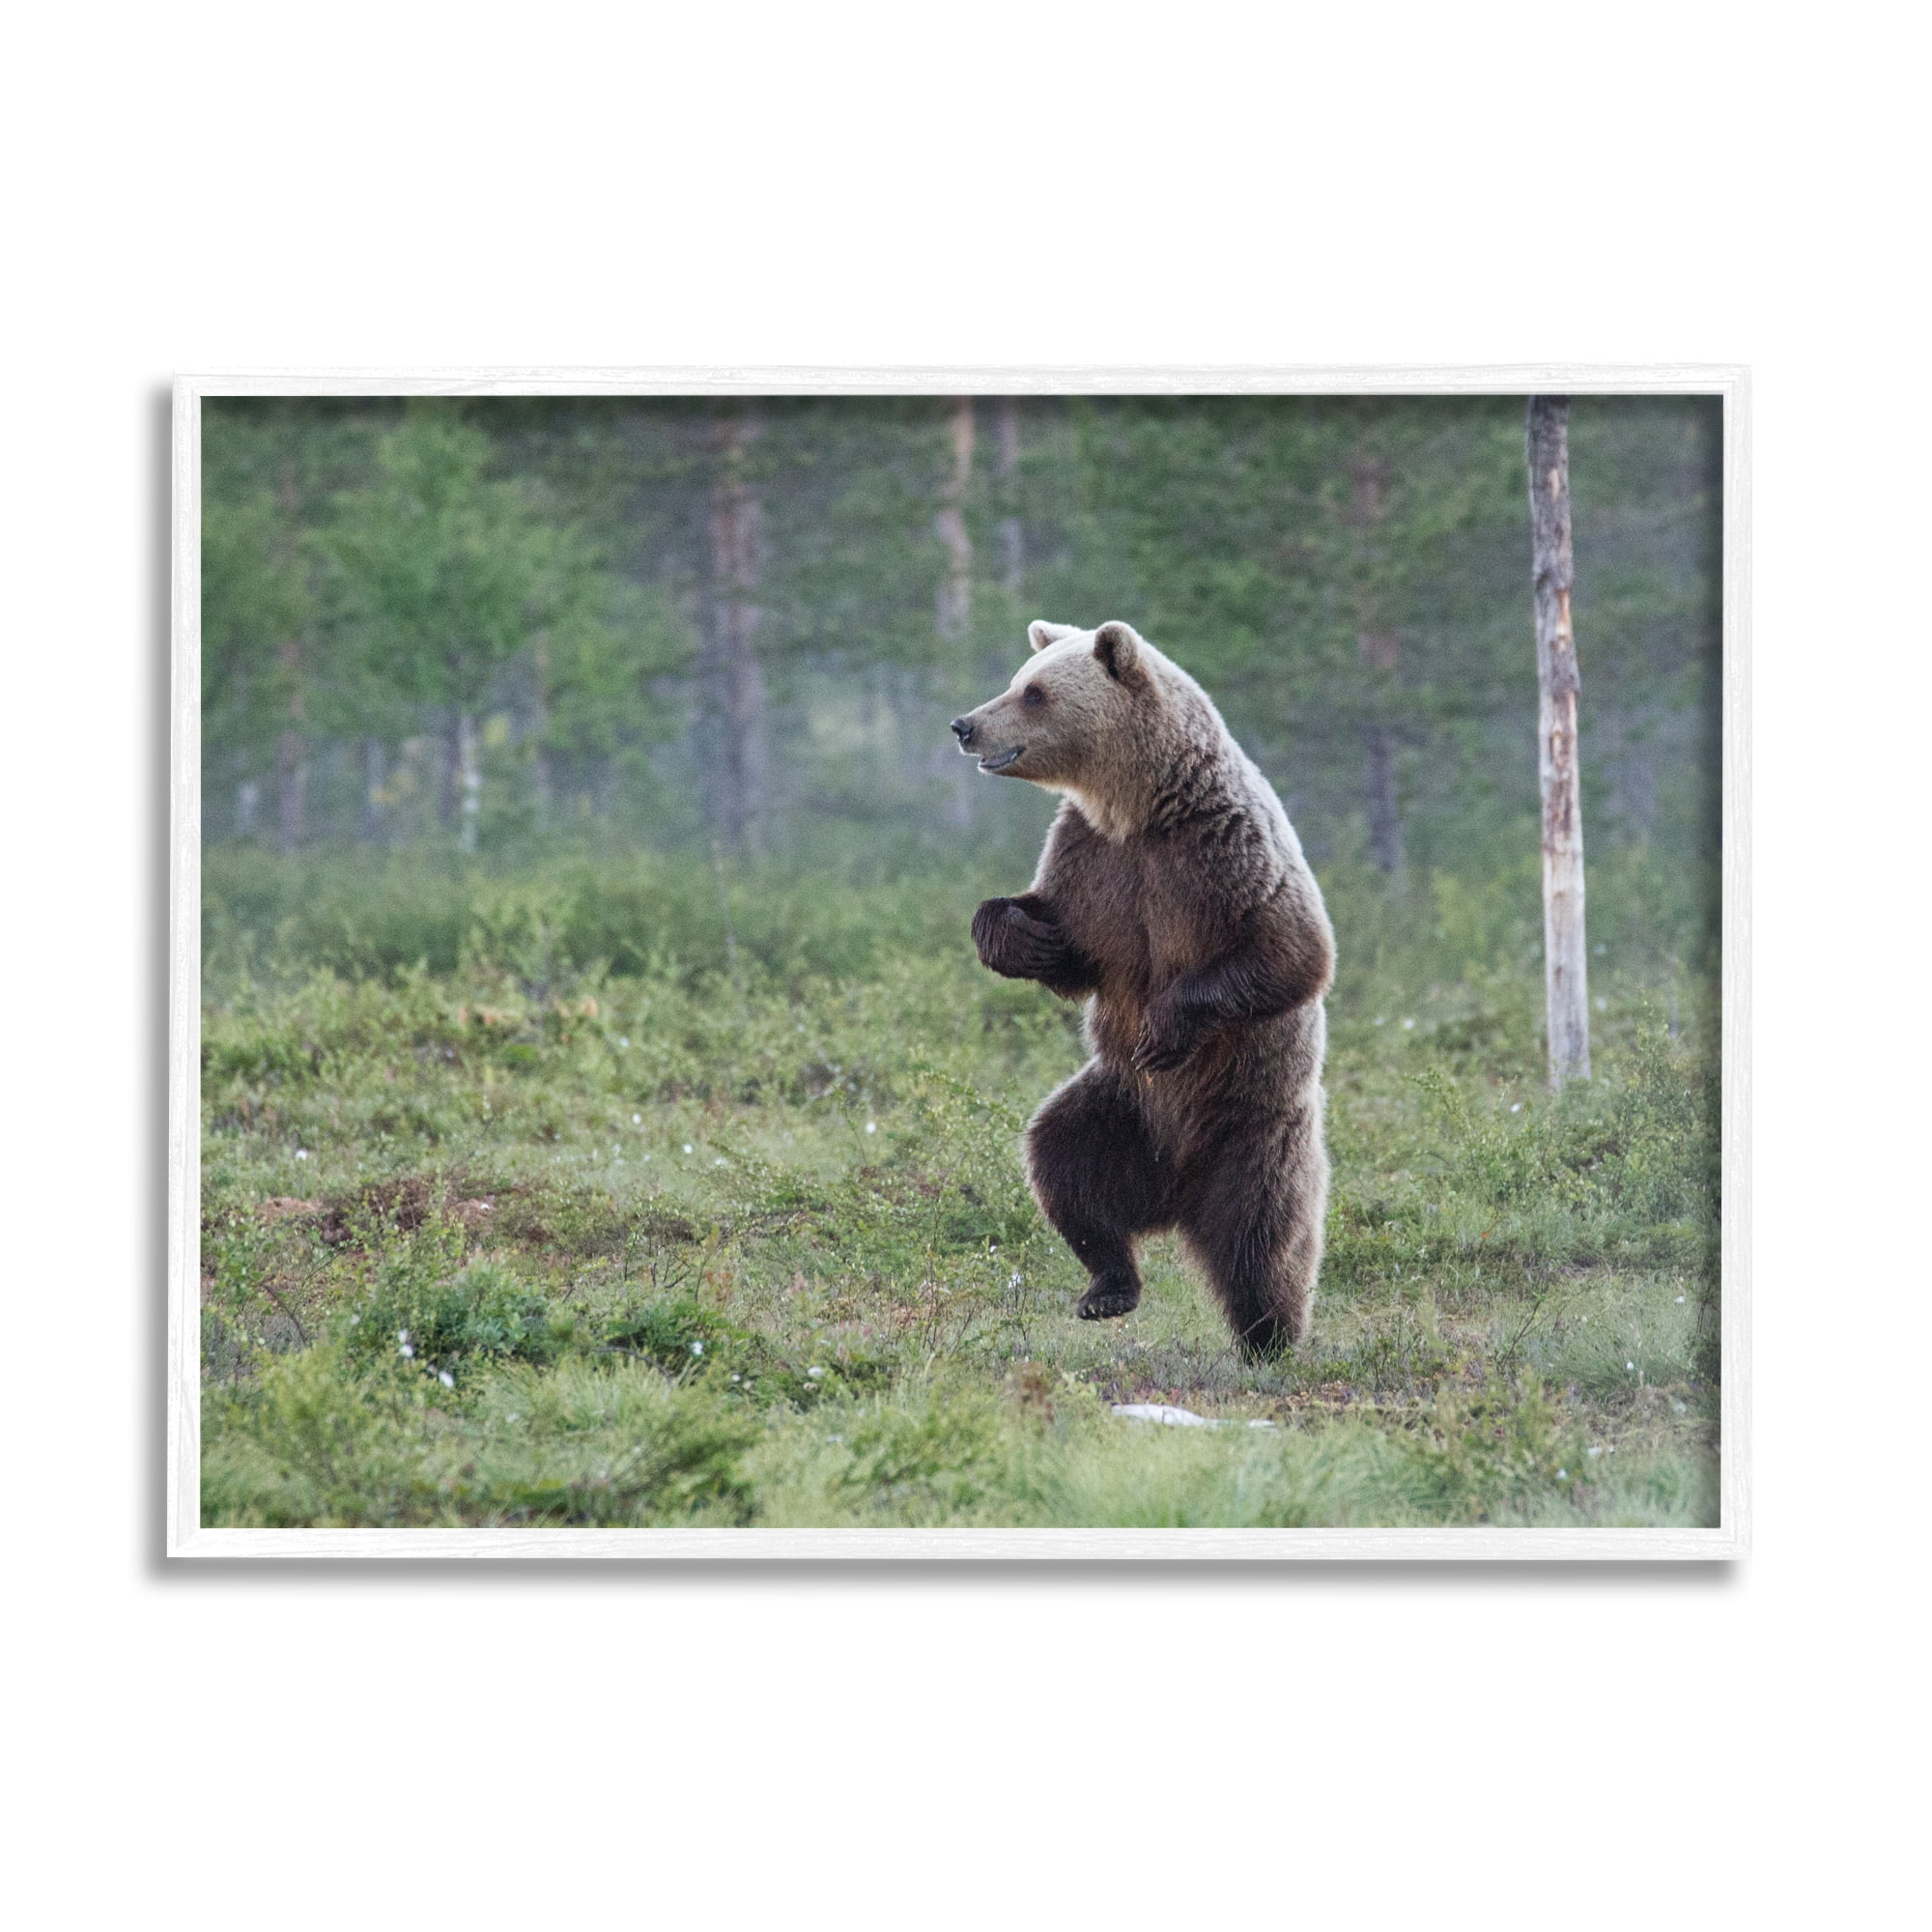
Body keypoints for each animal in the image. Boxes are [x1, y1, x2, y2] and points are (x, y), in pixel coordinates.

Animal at [950, 619, 1335, 1358]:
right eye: (1019, 679)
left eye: (1034, 692)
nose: (964, 725)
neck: (1137, 807)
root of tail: (1175, 1195)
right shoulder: (1091, 861)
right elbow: (1072, 946)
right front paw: (1020, 935)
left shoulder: (1221, 850)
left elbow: (1292, 951)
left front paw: (1166, 1027)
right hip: (1119, 1108)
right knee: (1061, 1164)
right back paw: (1107, 1287)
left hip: (1251, 1125)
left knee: (1263, 1236)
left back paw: (1269, 1338)